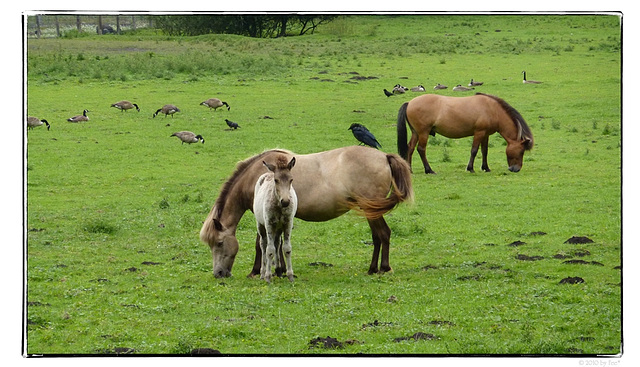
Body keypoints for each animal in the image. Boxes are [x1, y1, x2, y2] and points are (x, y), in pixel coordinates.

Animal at [198, 147, 412, 278]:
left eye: (219, 243)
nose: (218, 274)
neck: (257, 177)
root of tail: (384, 156)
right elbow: (276, 243)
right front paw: (279, 270)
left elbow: (262, 244)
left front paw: (257, 271)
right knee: (378, 236)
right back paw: (374, 268)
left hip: (371, 210)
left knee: (383, 234)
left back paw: (381, 268)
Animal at [398, 92, 532, 175]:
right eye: (521, 151)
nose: (516, 169)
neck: (492, 109)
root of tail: (409, 103)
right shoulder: (479, 133)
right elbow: (474, 150)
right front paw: (470, 168)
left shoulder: (486, 134)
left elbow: (484, 151)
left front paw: (486, 168)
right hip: (423, 133)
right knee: (421, 149)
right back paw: (429, 170)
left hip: (416, 133)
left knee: (410, 148)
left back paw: (409, 170)